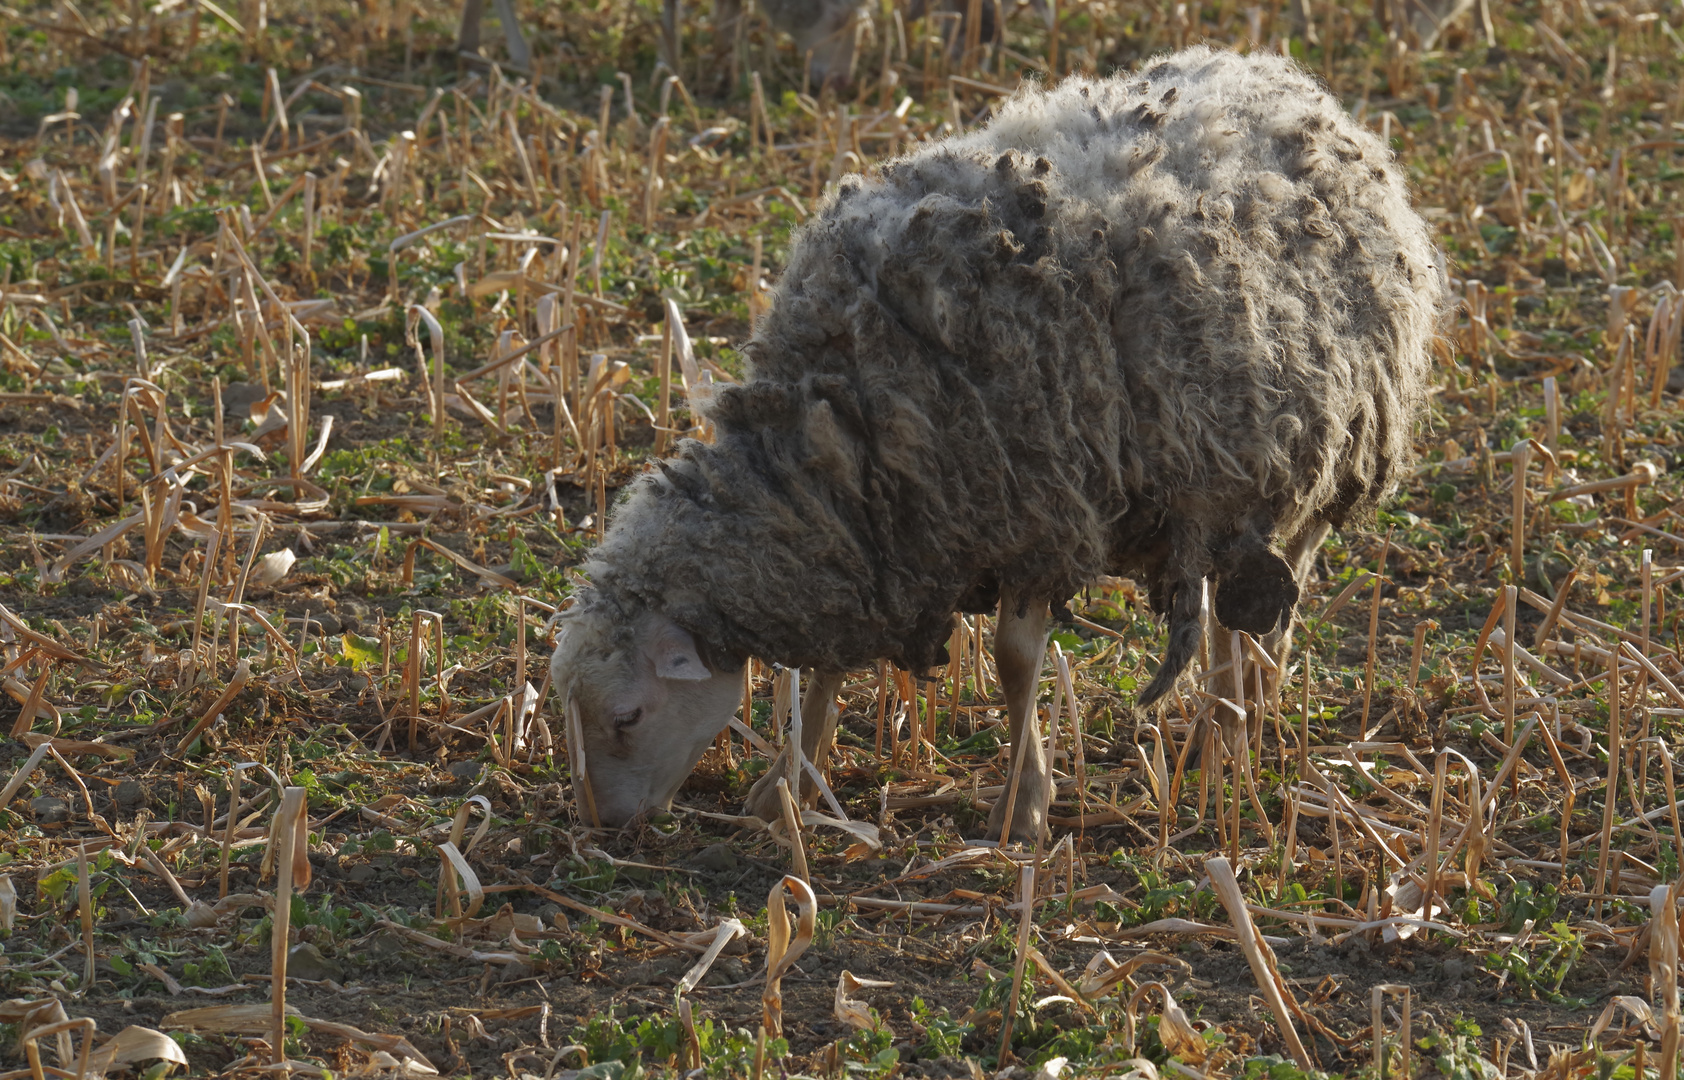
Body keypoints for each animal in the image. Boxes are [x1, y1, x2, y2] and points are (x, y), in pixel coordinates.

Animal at [548, 46, 1448, 842]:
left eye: (627, 715)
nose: (602, 823)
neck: (846, 415)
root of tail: (1282, 77)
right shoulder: (879, 543)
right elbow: (827, 670)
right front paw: (784, 790)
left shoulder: (1036, 513)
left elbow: (1017, 663)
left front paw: (1024, 808)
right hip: (1231, 481)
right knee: (1230, 602)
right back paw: (1218, 733)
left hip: (1328, 454)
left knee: (1275, 594)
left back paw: (1240, 719)